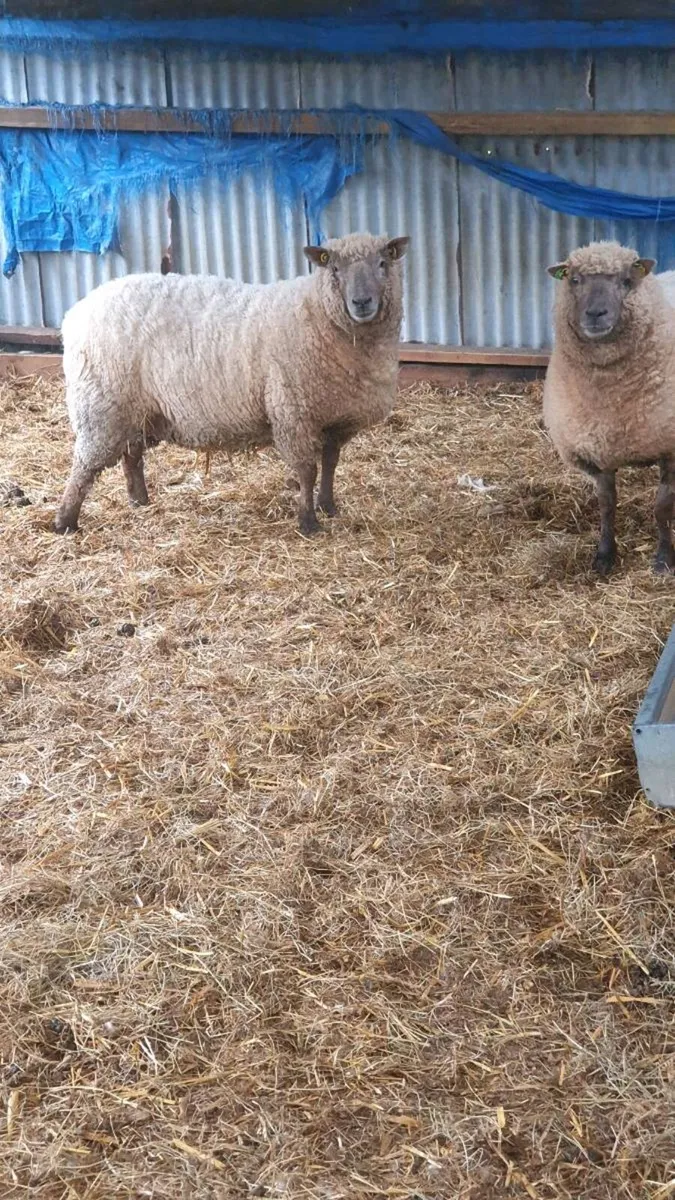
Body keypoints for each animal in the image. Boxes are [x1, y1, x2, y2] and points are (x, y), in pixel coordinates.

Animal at [54, 232, 410, 538]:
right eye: (334, 268)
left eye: (383, 263)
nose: (361, 302)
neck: (318, 314)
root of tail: (75, 313)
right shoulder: (293, 412)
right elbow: (307, 470)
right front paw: (308, 522)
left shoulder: (336, 418)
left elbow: (330, 464)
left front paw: (328, 506)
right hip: (102, 405)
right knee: (84, 466)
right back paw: (65, 521)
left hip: (138, 410)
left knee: (131, 456)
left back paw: (139, 502)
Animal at [543, 240, 675, 576]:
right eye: (574, 279)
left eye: (626, 281)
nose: (595, 313)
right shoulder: (596, 448)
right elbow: (606, 505)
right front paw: (604, 555)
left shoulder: (669, 447)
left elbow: (662, 507)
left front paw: (664, 558)